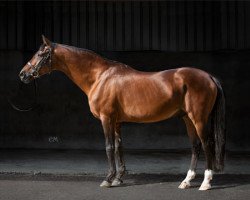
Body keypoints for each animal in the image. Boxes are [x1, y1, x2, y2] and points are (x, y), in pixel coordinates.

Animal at [18, 36, 226, 191]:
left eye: (40, 54)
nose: (23, 74)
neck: (100, 77)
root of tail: (208, 76)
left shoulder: (106, 119)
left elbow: (109, 147)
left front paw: (108, 179)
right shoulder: (117, 122)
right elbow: (119, 147)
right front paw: (119, 177)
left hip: (198, 119)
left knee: (206, 144)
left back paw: (206, 182)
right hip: (187, 118)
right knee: (195, 146)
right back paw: (186, 181)